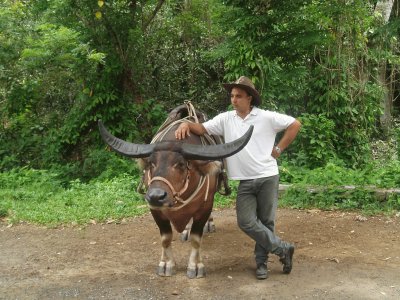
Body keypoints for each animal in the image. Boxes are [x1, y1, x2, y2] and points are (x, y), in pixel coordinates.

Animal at [98, 113, 252, 278]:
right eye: (151, 163)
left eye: (181, 164)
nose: (156, 196)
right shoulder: (155, 210)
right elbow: (165, 238)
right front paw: (166, 264)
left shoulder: (205, 207)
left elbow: (196, 239)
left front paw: (195, 266)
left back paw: (208, 225)